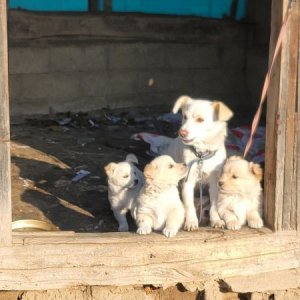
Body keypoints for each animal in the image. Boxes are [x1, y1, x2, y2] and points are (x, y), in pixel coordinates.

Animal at [165, 95, 233, 231]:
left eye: (200, 119)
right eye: (184, 117)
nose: (182, 133)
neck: (202, 155)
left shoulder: (214, 183)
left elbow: (214, 205)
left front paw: (216, 220)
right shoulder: (188, 182)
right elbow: (189, 205)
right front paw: (191, 222)